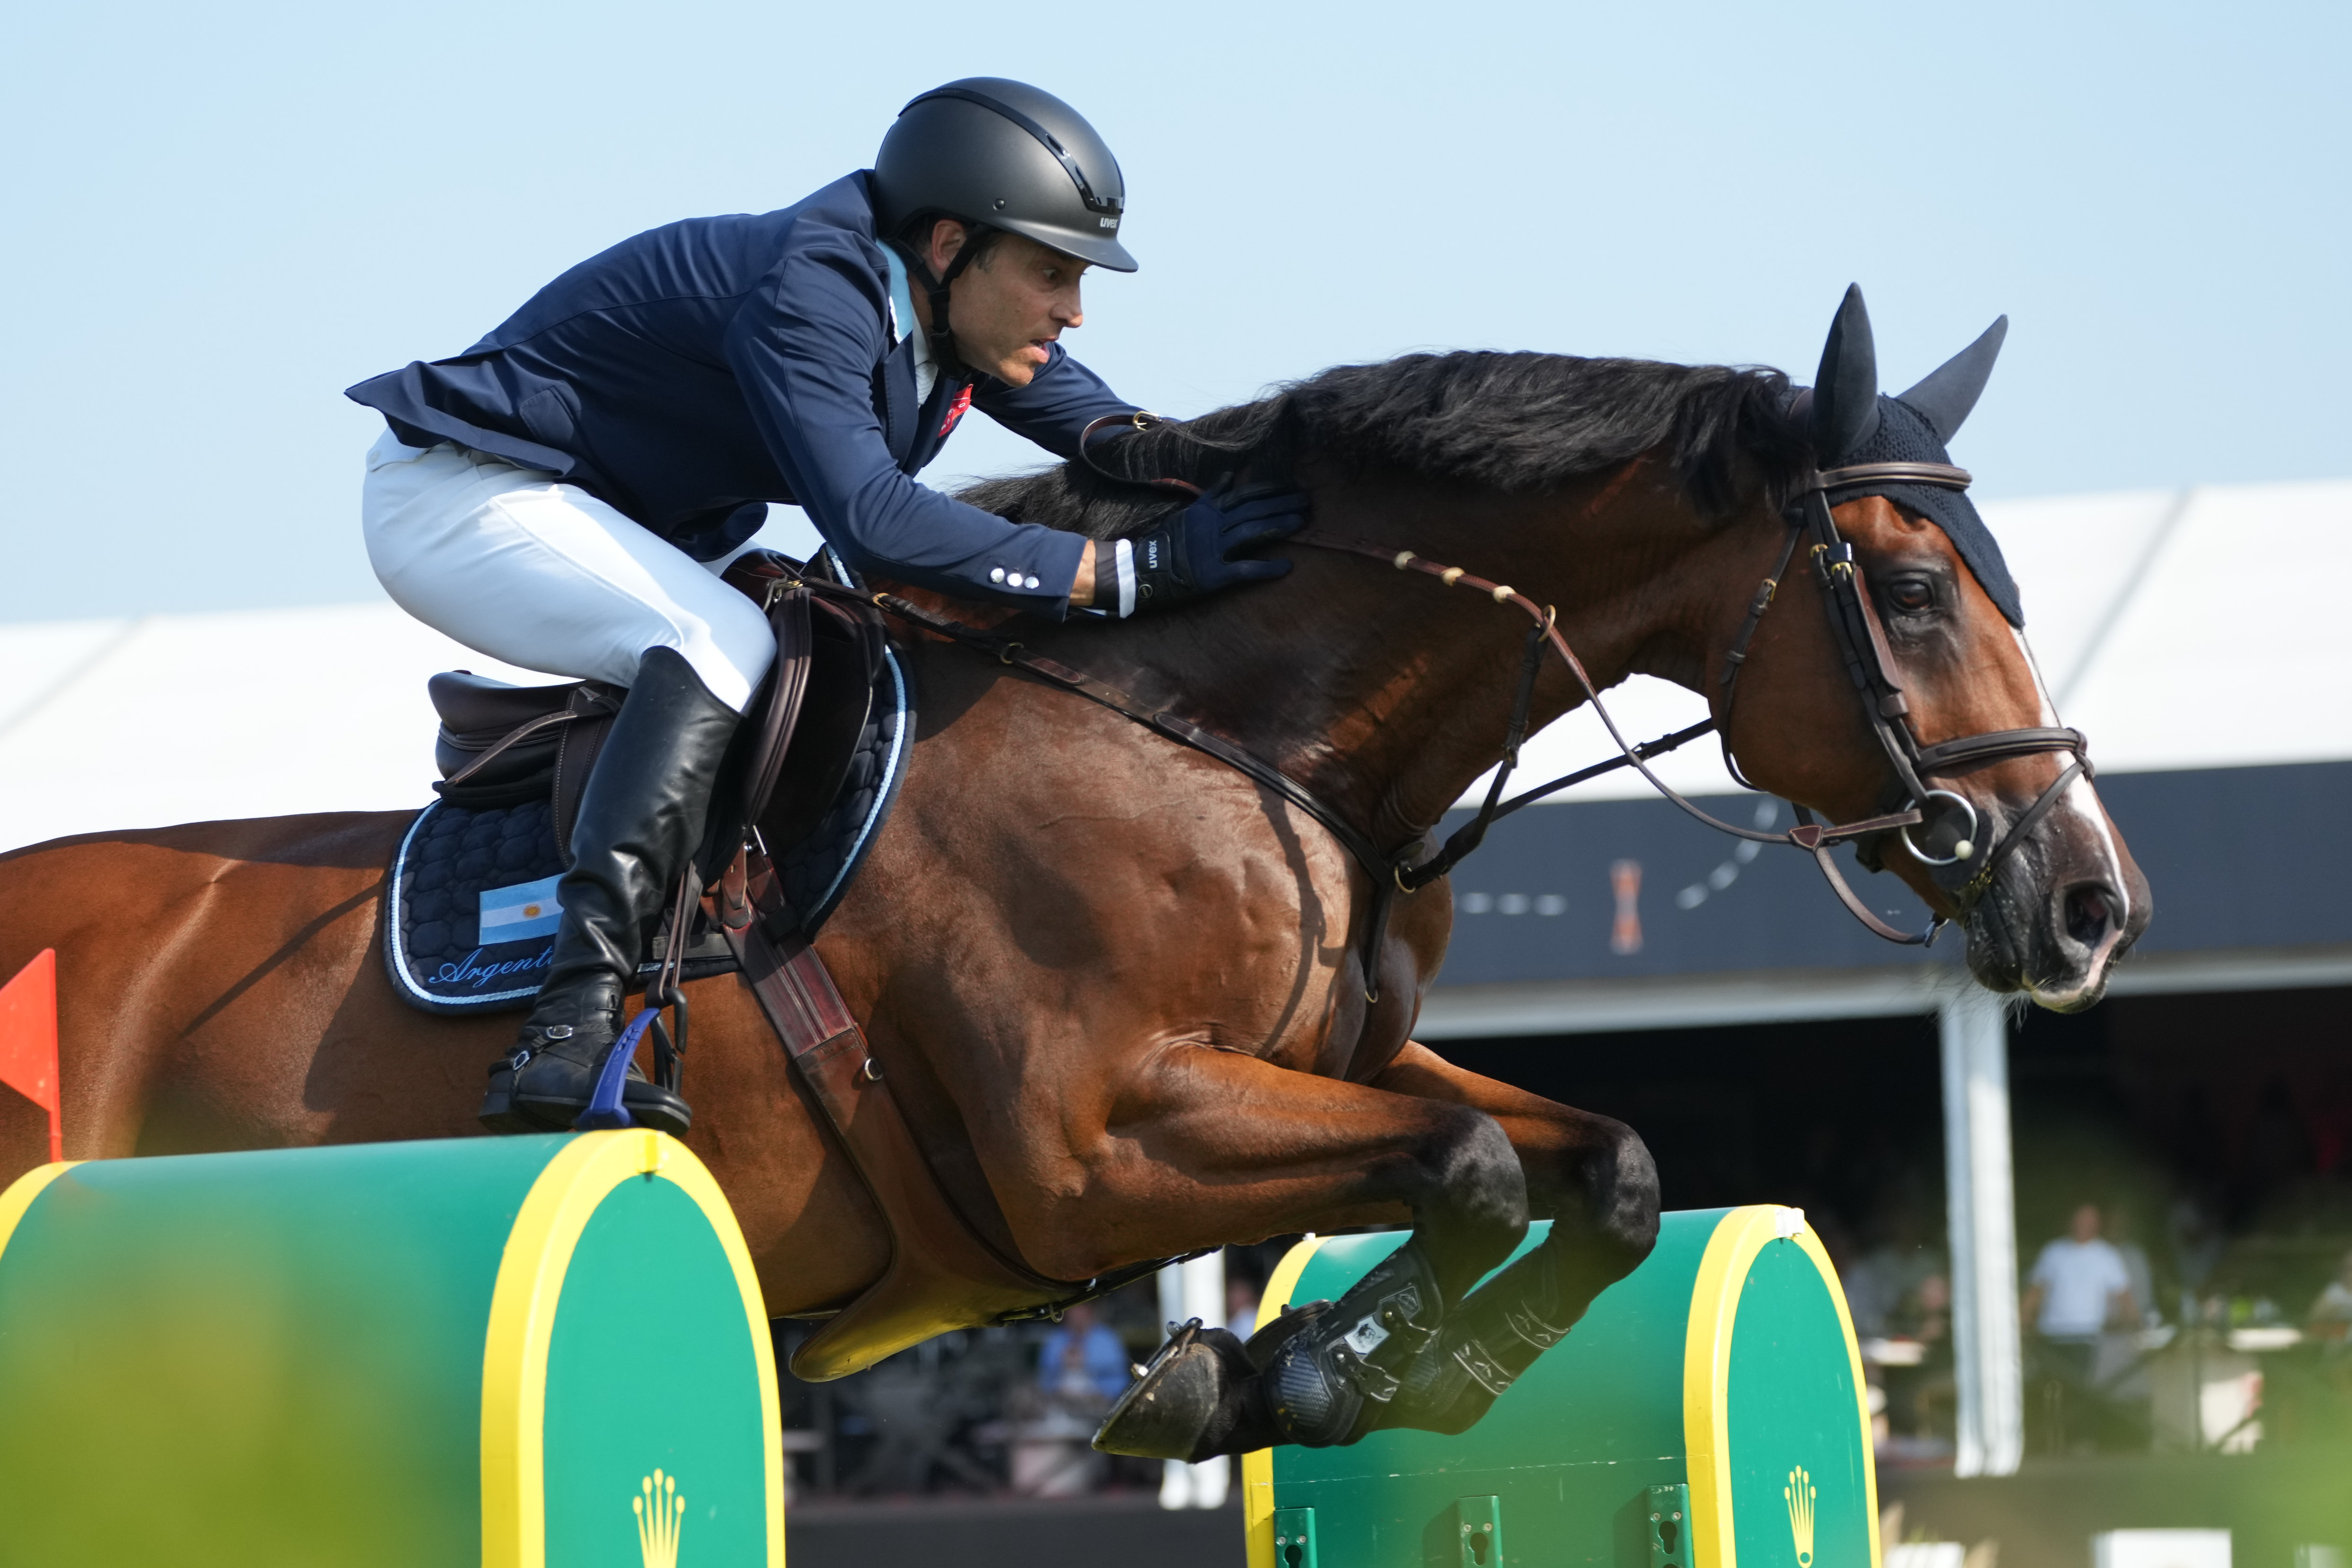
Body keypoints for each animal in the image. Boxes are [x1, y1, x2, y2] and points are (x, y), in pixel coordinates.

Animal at [0, 290, 2148, 1457]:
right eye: (1910, 587)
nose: (2088, 903)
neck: (1241, 736)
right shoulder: (1089, 1145)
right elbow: (1461, 1167)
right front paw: (1279, 1376)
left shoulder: (1330, 1067)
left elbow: (1594, 1164)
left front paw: (1340, 1371)